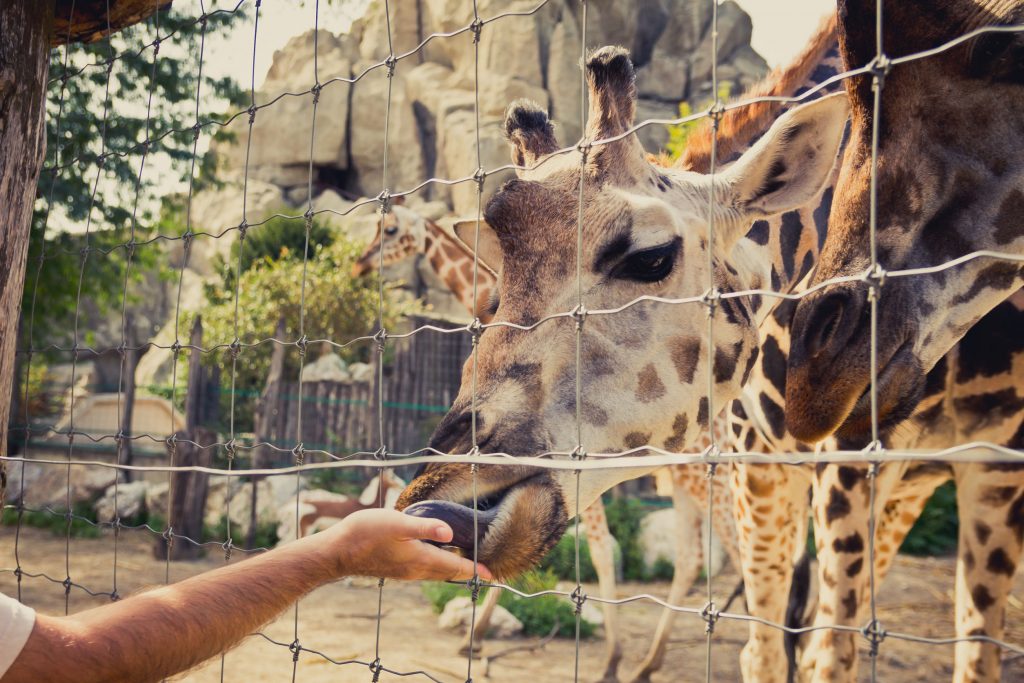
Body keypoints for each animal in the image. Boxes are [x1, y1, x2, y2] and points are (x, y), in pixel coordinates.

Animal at [354, 196, 745, 679]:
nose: (359, 264)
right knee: (696, 556)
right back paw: (651, 662)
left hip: (703, 475)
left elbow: (597, 551)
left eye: (389, 230)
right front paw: (476, 637)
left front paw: (609, 659)